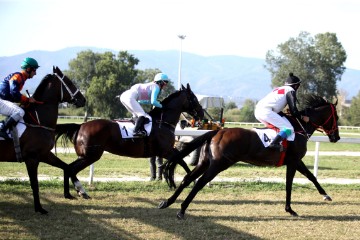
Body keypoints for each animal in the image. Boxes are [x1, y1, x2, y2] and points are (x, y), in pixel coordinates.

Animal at [0, 66, 86, 215]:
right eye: (69, 82)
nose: (83, 99)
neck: (38, 121)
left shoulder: (45, 154)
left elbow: (66, 167)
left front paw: (77, 190)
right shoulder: (32, 158)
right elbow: (35, 184)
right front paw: (39, 208)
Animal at [54, 83, 204, 198]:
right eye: (194, 98)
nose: (202, 114)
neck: (162, 122)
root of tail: (80, 126)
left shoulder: (167, 151)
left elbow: (178, 162)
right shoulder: (166, 151)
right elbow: (181, 162)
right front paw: (191, 180)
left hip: (85, 155)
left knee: (68, 168)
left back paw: (72, 193)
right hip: (91, 155)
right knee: (71, 168)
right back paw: (80, 192)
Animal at [160, 94, 340, 219]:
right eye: (336, 117)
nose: (336, 137)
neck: (299, 128)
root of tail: (217, 131)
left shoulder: (296, 161)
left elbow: (311, 176)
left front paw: (326, 195)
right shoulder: (293, 161)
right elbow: (289, 185)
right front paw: (290, 210)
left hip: (204, 162)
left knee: (187, 179)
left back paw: (167, 202)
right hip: (219, 164)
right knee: (199, 183)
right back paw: (182, 210)